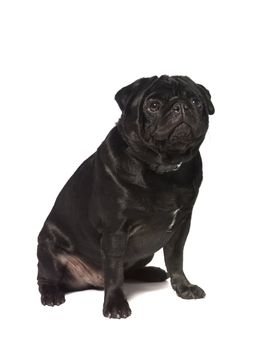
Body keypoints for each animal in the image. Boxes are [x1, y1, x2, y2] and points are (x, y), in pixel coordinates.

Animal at [36, 75, 214, 318]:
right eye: (153, 105)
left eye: (196, 101)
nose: (181, 106)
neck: (163, 170)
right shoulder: (115, 231)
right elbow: (114, 272)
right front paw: (115, 304)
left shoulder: (181, 227)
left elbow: (176, 260)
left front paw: (183, 287)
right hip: (47, 247)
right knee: (46, 277)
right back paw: (52, 294)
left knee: (129, 271)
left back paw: (151, 273)